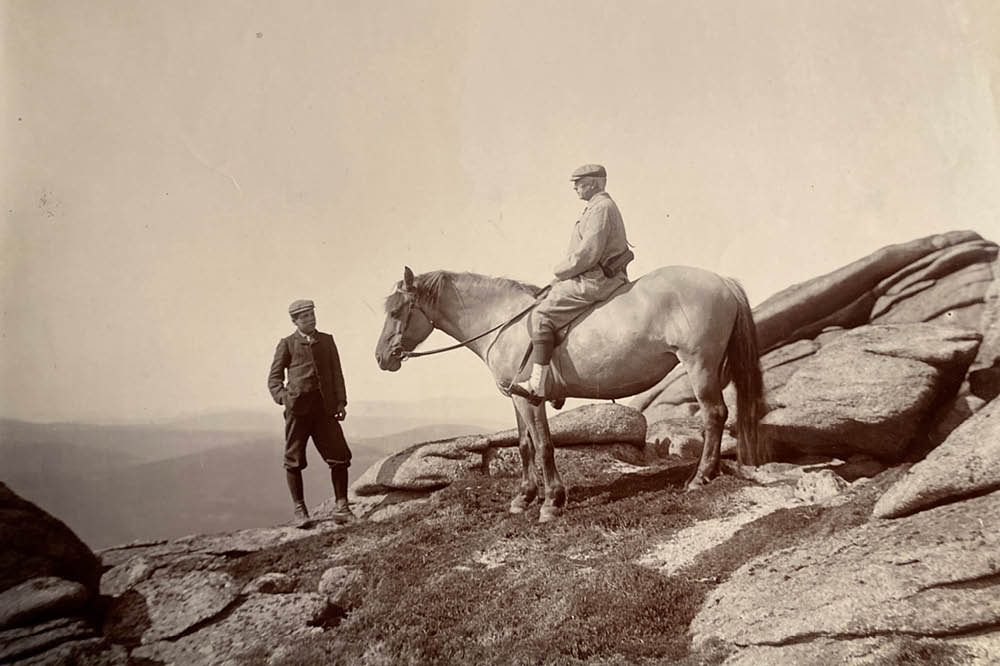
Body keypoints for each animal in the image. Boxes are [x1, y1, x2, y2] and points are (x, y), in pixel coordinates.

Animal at [376, 264, 764, 520]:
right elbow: (524, 445)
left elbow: (544, 445)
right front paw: (524, 497)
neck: (503, 321)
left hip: (700, 366)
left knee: (714, 415)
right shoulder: (516, 399)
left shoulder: (529, 399)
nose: (381, 357)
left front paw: (551, 501)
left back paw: (700, 477)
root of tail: (722, 280)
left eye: (395, 311)